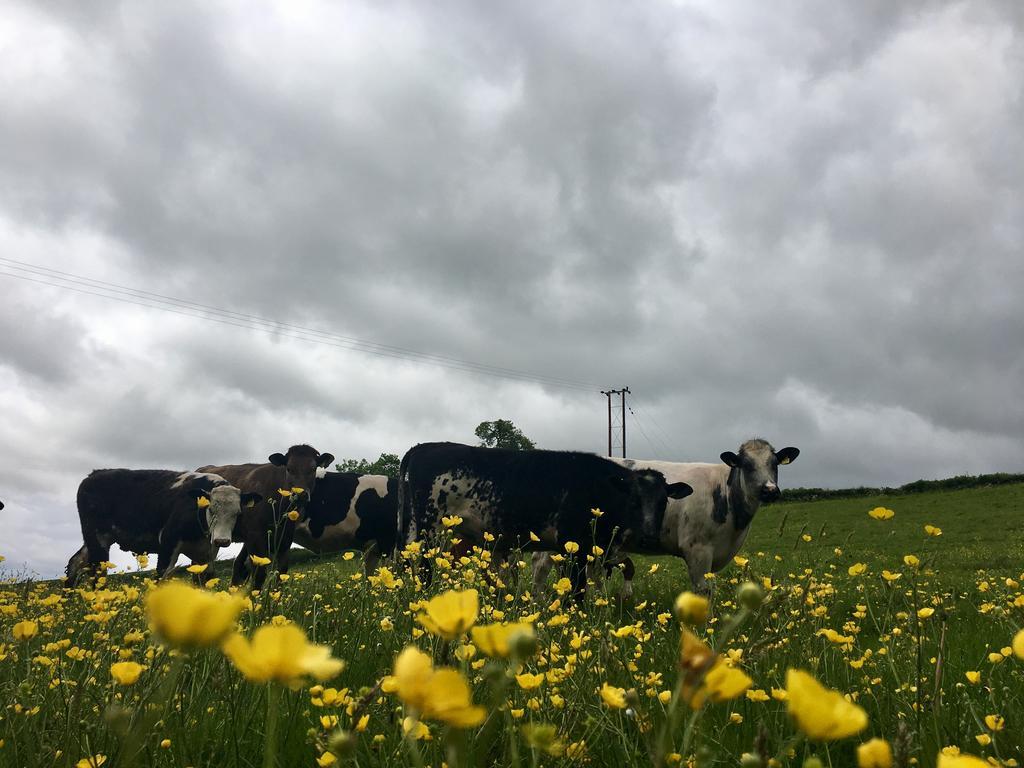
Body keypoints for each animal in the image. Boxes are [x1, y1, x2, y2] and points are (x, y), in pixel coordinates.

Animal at [64, 468, 262, 589]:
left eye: (238, 513)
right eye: (211, 509)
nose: (222, 540)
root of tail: (94, 474)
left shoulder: (205, 554)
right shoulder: (168, 541)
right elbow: (161, 576)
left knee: (76, 561)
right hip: (97, 538)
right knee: (98, 572)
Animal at [201, 444, 337, 589]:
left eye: (313, 468)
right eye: (289, 468)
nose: (300, 494)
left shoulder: (285, 537)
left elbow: (281, 572)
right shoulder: (255, 536)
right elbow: (259, 573)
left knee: (236, 565)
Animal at [395, 442, 692, 598]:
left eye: (663, 502)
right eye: (633, 501)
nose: (649, 537)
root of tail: (425, 447)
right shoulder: (575, 544)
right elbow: (577, 589)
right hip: (430, 527)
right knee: (424, 566)